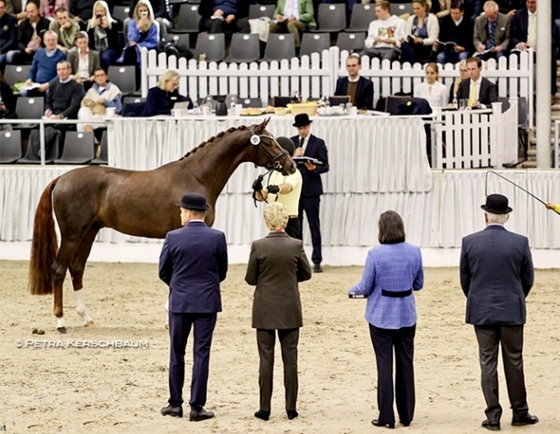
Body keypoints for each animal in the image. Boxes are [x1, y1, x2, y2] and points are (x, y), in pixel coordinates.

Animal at [28, 118, 296, 332]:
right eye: (268, 142)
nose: (291, 165)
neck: (196, 176)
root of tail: (61, 178)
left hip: (89, 232)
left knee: (77, 268)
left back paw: (87, 318)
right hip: (73, 234)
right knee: (59, 269)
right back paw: (60, 322)